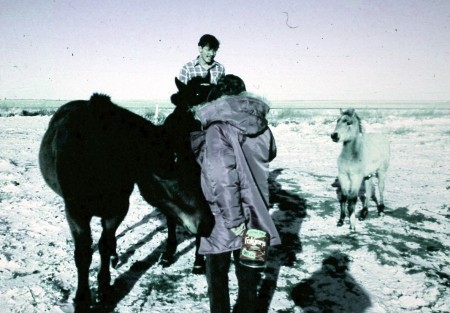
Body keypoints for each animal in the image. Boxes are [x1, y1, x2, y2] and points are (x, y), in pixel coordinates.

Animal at [39, 79, 214, 308]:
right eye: (167, 174)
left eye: (197, 171)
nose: (208, 223)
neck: (97, 156)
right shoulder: (76, 211)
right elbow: (84, 254)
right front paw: (83, 299)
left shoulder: (118, 207)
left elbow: (105, 245)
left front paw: (104, 289)